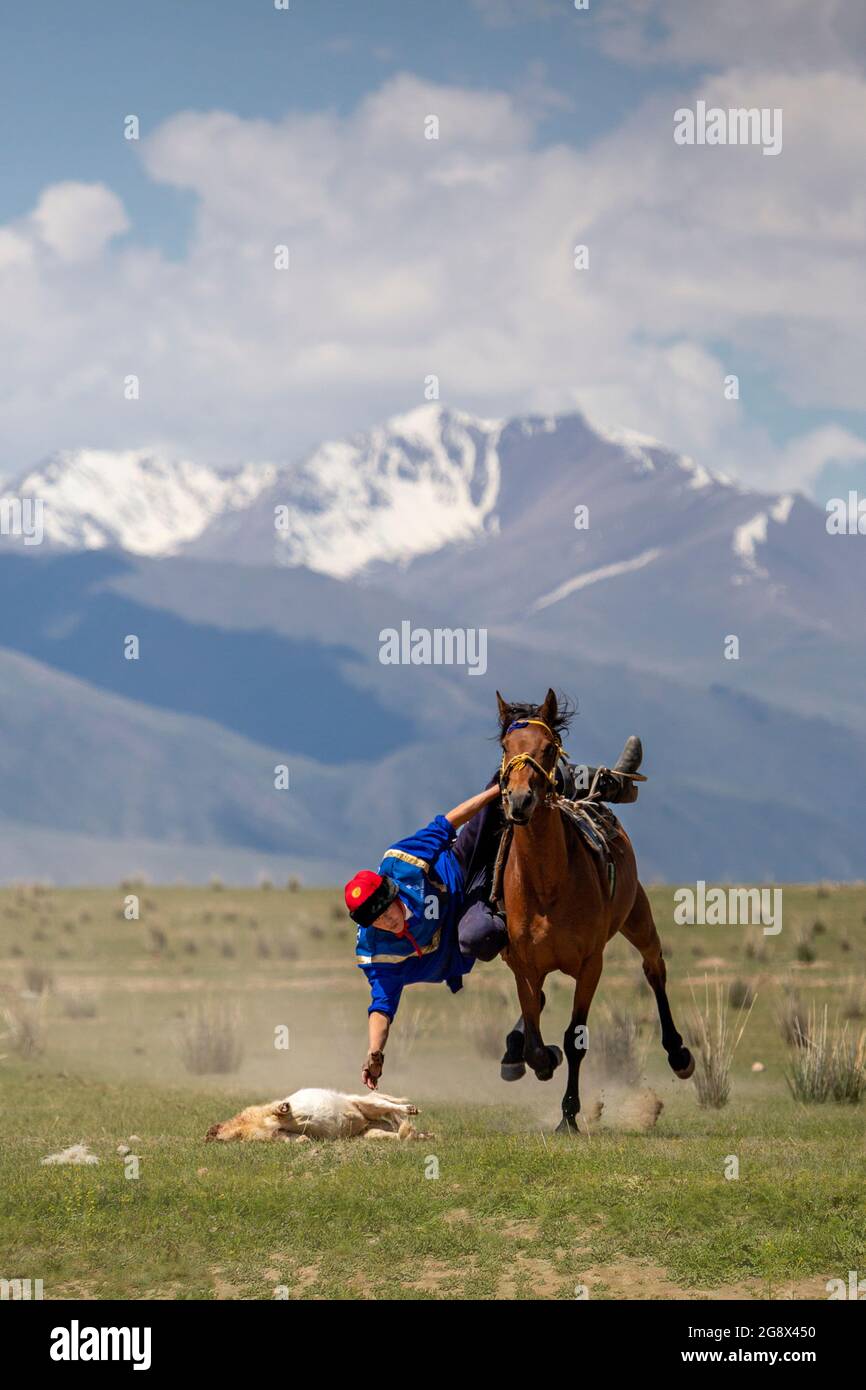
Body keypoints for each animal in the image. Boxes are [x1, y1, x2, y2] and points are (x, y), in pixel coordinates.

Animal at [497, 689, 695, 1134]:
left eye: (548, 748)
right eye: (506, 747)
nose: (520, 801)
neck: (546, 884)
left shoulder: (591, 964)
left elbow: (575, 1038)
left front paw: (569, 1115)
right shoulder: (524, 966)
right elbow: (535, 1036)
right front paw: (541, 1061)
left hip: (638, 917)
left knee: (655, 968)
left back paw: (679, 1053)